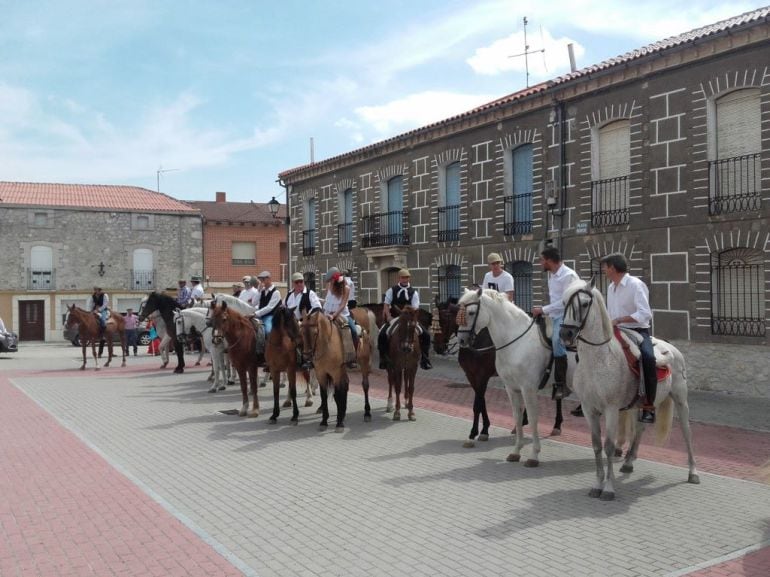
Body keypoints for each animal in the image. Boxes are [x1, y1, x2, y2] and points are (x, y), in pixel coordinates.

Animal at [452, 286, 572, 466]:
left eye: (472, 312)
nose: (461, 340)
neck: (517, 342)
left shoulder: (527, 388)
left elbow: (533, 417)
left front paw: (534, 455)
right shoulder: (510, 387)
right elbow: (515, 414)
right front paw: (516, 451)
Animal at [560, 280, 696, 500]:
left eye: (585, 304)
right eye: (564, 302)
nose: (566, 334)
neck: (599, 359)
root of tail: (671, 349)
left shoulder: (611, 409)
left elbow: (609, 446)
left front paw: (608, 488)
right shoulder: (589, 409)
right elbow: (596, 445)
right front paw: (597, 485)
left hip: (680, 400)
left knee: (687, 432)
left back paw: (693, 472)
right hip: (641, 404)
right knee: (640, 428)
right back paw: (629, 462)